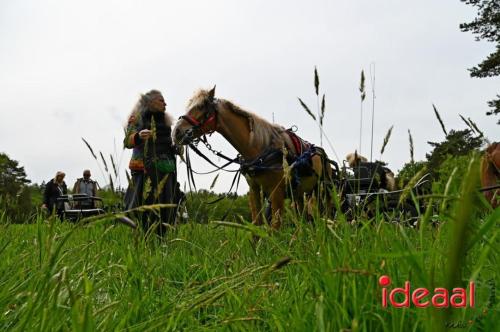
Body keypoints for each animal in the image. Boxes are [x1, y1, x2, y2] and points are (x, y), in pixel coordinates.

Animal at [173, 87, 336, 230]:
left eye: (201, 107)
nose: (176, 132)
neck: (260, 148)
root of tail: (323, 154)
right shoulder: (254, 189)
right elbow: (256, 225)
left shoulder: (277, 191)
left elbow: (275, 227)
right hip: (300, 193)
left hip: (323, 190)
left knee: (325, 214)